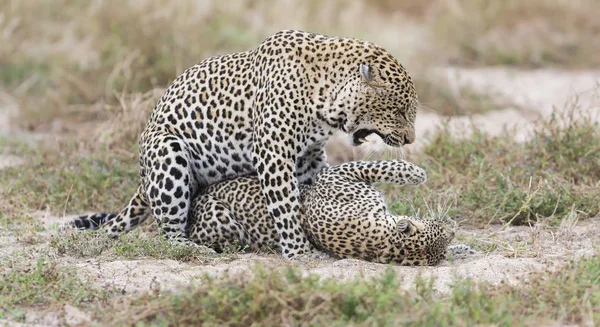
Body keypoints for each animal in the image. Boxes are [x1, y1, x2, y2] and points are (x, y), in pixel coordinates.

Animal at [63, 161, 472, 266]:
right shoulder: (338, 176)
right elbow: (380, 164)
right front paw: (416, 173)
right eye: (435, 223)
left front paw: (462, 248)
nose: (451, 224)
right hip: (218, 216)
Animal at [90, 29, 422, 258]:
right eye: (399, 110)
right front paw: (300, 251)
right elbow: (286, 206)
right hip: (168, 152)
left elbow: (307, 196)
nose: (410, 139)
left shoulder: (310, 155)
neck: (324, 96)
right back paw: (194, 250)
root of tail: (142, 176)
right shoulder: (272, 152)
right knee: (169, 233)